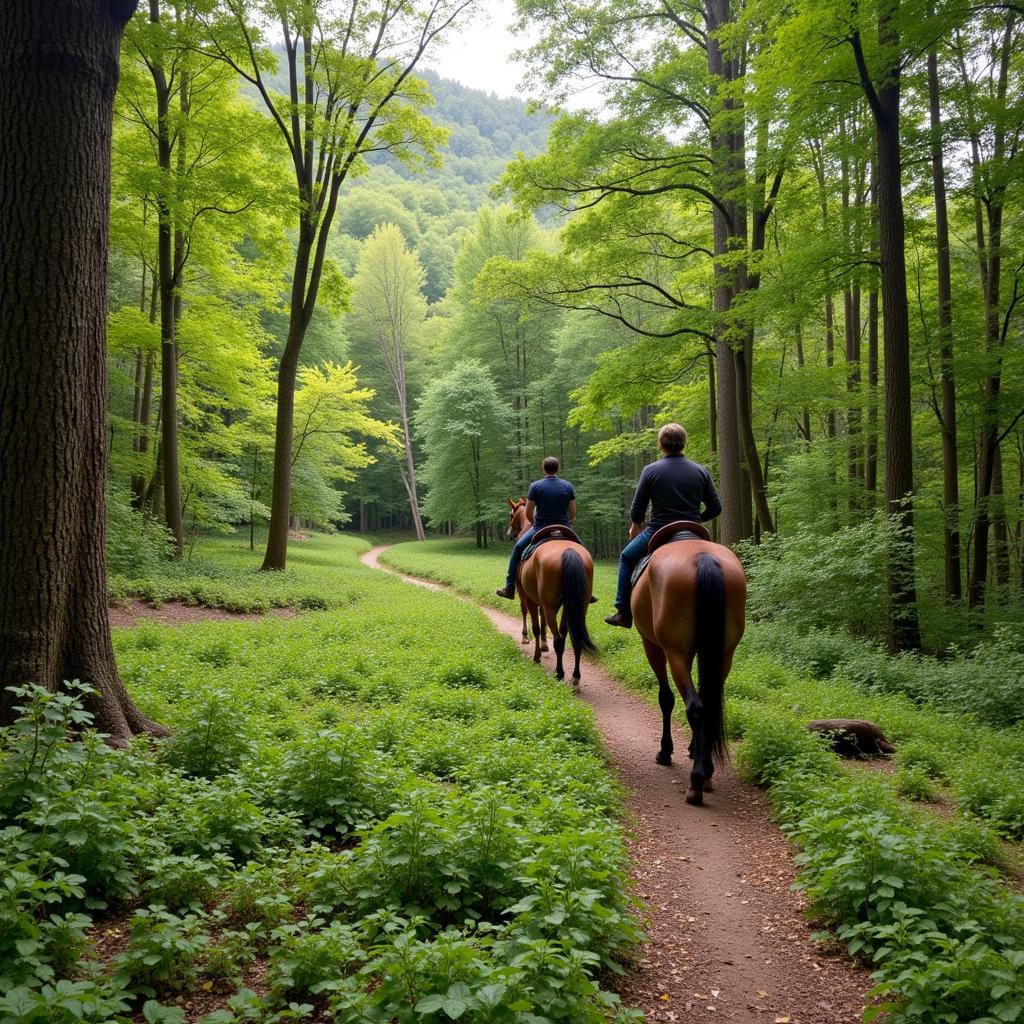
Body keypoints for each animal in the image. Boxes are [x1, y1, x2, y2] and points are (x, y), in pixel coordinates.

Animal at [501, 497, 598, 688]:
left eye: (511, 515)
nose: (509, 534)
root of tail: (569, 552)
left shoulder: (527, 596)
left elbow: (533, 622)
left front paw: (533, 649)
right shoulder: (544, 601)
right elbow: (542, 619)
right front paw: (544, 645)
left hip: (550, 605)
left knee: (559, 639)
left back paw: (559, 673)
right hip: (577, 606)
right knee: (572, 636)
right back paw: (575, 676)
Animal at [630, 524, 745, 802]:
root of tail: (705, 559)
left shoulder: (652, 645)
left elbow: (665, 698)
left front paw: (665, 751)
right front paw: (694, 749)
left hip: (675, 652)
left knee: (694, 705)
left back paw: (697, 780)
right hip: (725, 653)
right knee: (708, 702)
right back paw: (707, 770)